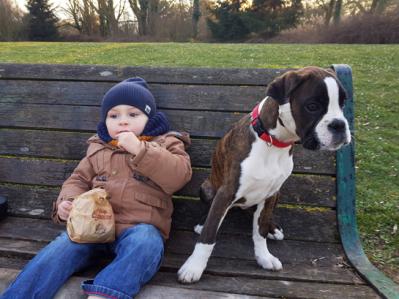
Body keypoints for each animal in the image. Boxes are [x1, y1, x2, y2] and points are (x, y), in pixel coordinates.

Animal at [177, 65, 352, 284]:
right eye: (312, 106)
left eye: (343, 104)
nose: (340, 125)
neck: (274, 142)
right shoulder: (226, 193)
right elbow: (208, 236)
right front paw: (194, 267)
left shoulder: (270, 193)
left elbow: (259, 230)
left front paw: (264, 257)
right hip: (207, 188)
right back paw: (202, 222)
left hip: (277, 195)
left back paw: (273, 228)